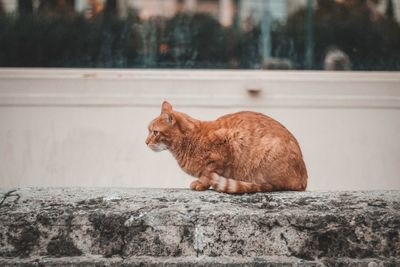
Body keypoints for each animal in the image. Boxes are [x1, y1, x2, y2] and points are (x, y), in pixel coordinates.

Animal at [145, 101, 308, 194]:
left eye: (155, 132)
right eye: (149, 131)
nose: (145, 142)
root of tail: (303, 180)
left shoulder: (228, 141)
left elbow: (208, 172)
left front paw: (201, 183)